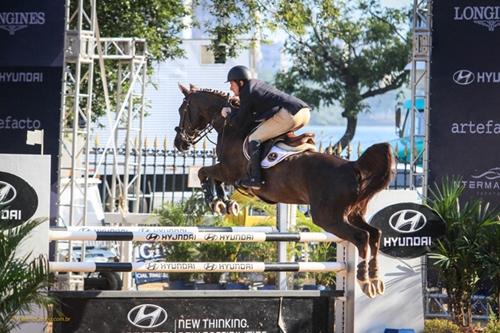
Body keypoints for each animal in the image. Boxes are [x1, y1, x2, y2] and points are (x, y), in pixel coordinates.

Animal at [174, 83, 396, 296]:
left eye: (182, 110)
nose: (180, 143)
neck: (231, 125)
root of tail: (353, 167)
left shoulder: (228, 170)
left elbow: (203, 172)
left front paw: (217, 202)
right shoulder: (226, 171)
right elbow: (212, 177)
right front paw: (225, 204)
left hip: (328, 218)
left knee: (361, 237)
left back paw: (364, 281)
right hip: (352, 214)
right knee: (374, 234)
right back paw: (375, 280)